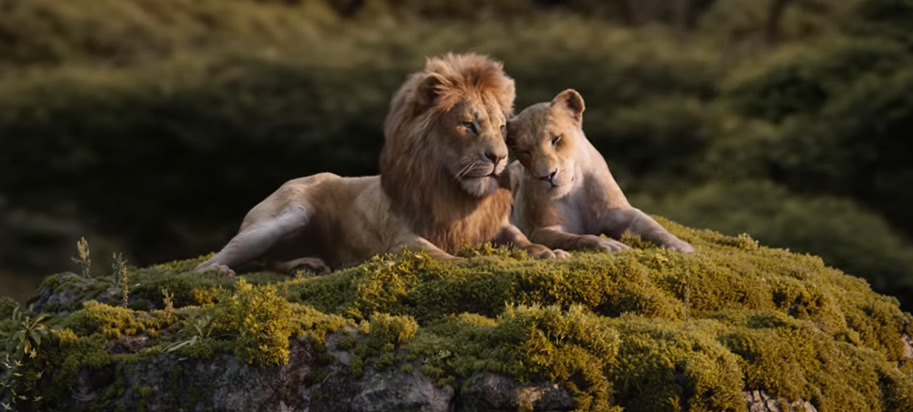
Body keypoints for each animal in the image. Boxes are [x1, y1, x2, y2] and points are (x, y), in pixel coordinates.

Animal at [195, 53, 565, 277]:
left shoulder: (497, 226)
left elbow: (524, 241)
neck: (455, 190)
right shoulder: (399, 240)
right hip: (289, 214)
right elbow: (443, 255)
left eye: (501, 127)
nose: (499, 158)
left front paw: (549, 253)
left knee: (271, 259)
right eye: (468, 125)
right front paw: (477, 261)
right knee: (215, 261)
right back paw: (218, 271)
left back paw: (308, 264)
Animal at [506, 89, 694, 253]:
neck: (574, 193)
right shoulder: (540, 230)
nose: (547, 175)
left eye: (556, 139)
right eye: (525, 151)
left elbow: (651, 225)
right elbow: (576, 238)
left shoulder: (619, 212)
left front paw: (680, 245)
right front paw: (609, 244)